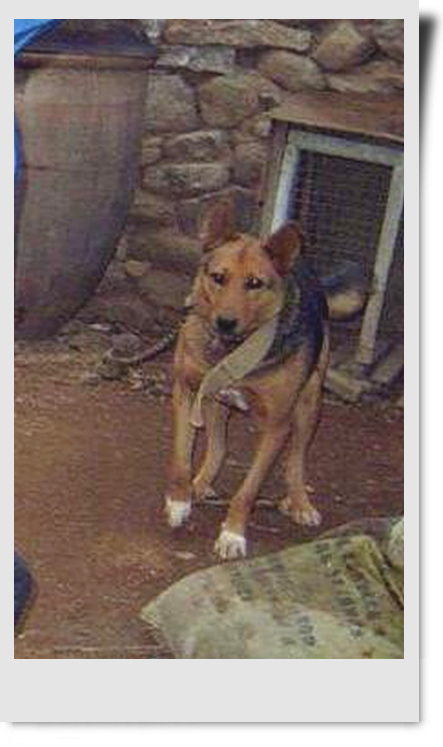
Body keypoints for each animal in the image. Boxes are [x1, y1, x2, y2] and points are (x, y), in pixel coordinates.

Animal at [164, 201, 364, 560]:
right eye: (218, 278)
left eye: (255, 283)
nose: (225, 322)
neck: (233, 347)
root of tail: (302, 264)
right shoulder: (185, 392)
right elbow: (180, 458)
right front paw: (179, 501)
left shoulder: (277, 425)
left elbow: (248, 490)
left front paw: (233, 534)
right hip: (215, 401)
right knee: (219, 447)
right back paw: (201, 483)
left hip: (309, 404)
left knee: (296, 461)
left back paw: (300, 502)